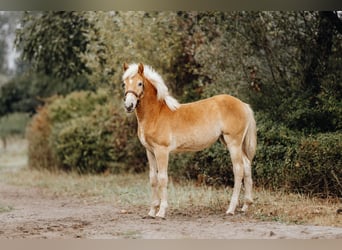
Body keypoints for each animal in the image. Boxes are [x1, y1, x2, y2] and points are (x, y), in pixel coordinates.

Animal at [123, 62, 256, 219]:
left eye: (140, 83)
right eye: (124, 84)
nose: (129, 106)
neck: (156, 114)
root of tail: (243, 105)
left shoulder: (162, 151)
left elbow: (162, 178)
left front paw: (161, 212)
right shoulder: (150, 151)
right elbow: (153, 179)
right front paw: (151, 211)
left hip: (233, 143)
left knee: (238, 170)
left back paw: (231, 209)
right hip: (231, 142)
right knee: (247, 165)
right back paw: (246, 206)